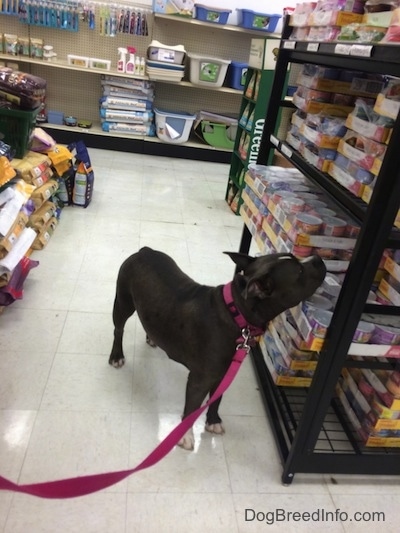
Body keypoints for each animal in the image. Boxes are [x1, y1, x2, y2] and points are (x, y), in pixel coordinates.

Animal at [108, 247, 324, 446]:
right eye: (300, 272)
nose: (318, 259)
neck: (237, 313)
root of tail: (145, 250)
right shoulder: (200, 380)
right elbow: (192, 407)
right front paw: (185, 436)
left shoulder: (223, 373)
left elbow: (216, 398)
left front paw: (212, 421)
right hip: (123, 302)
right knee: (118, 329)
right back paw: (117, 355)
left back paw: (152, 338)